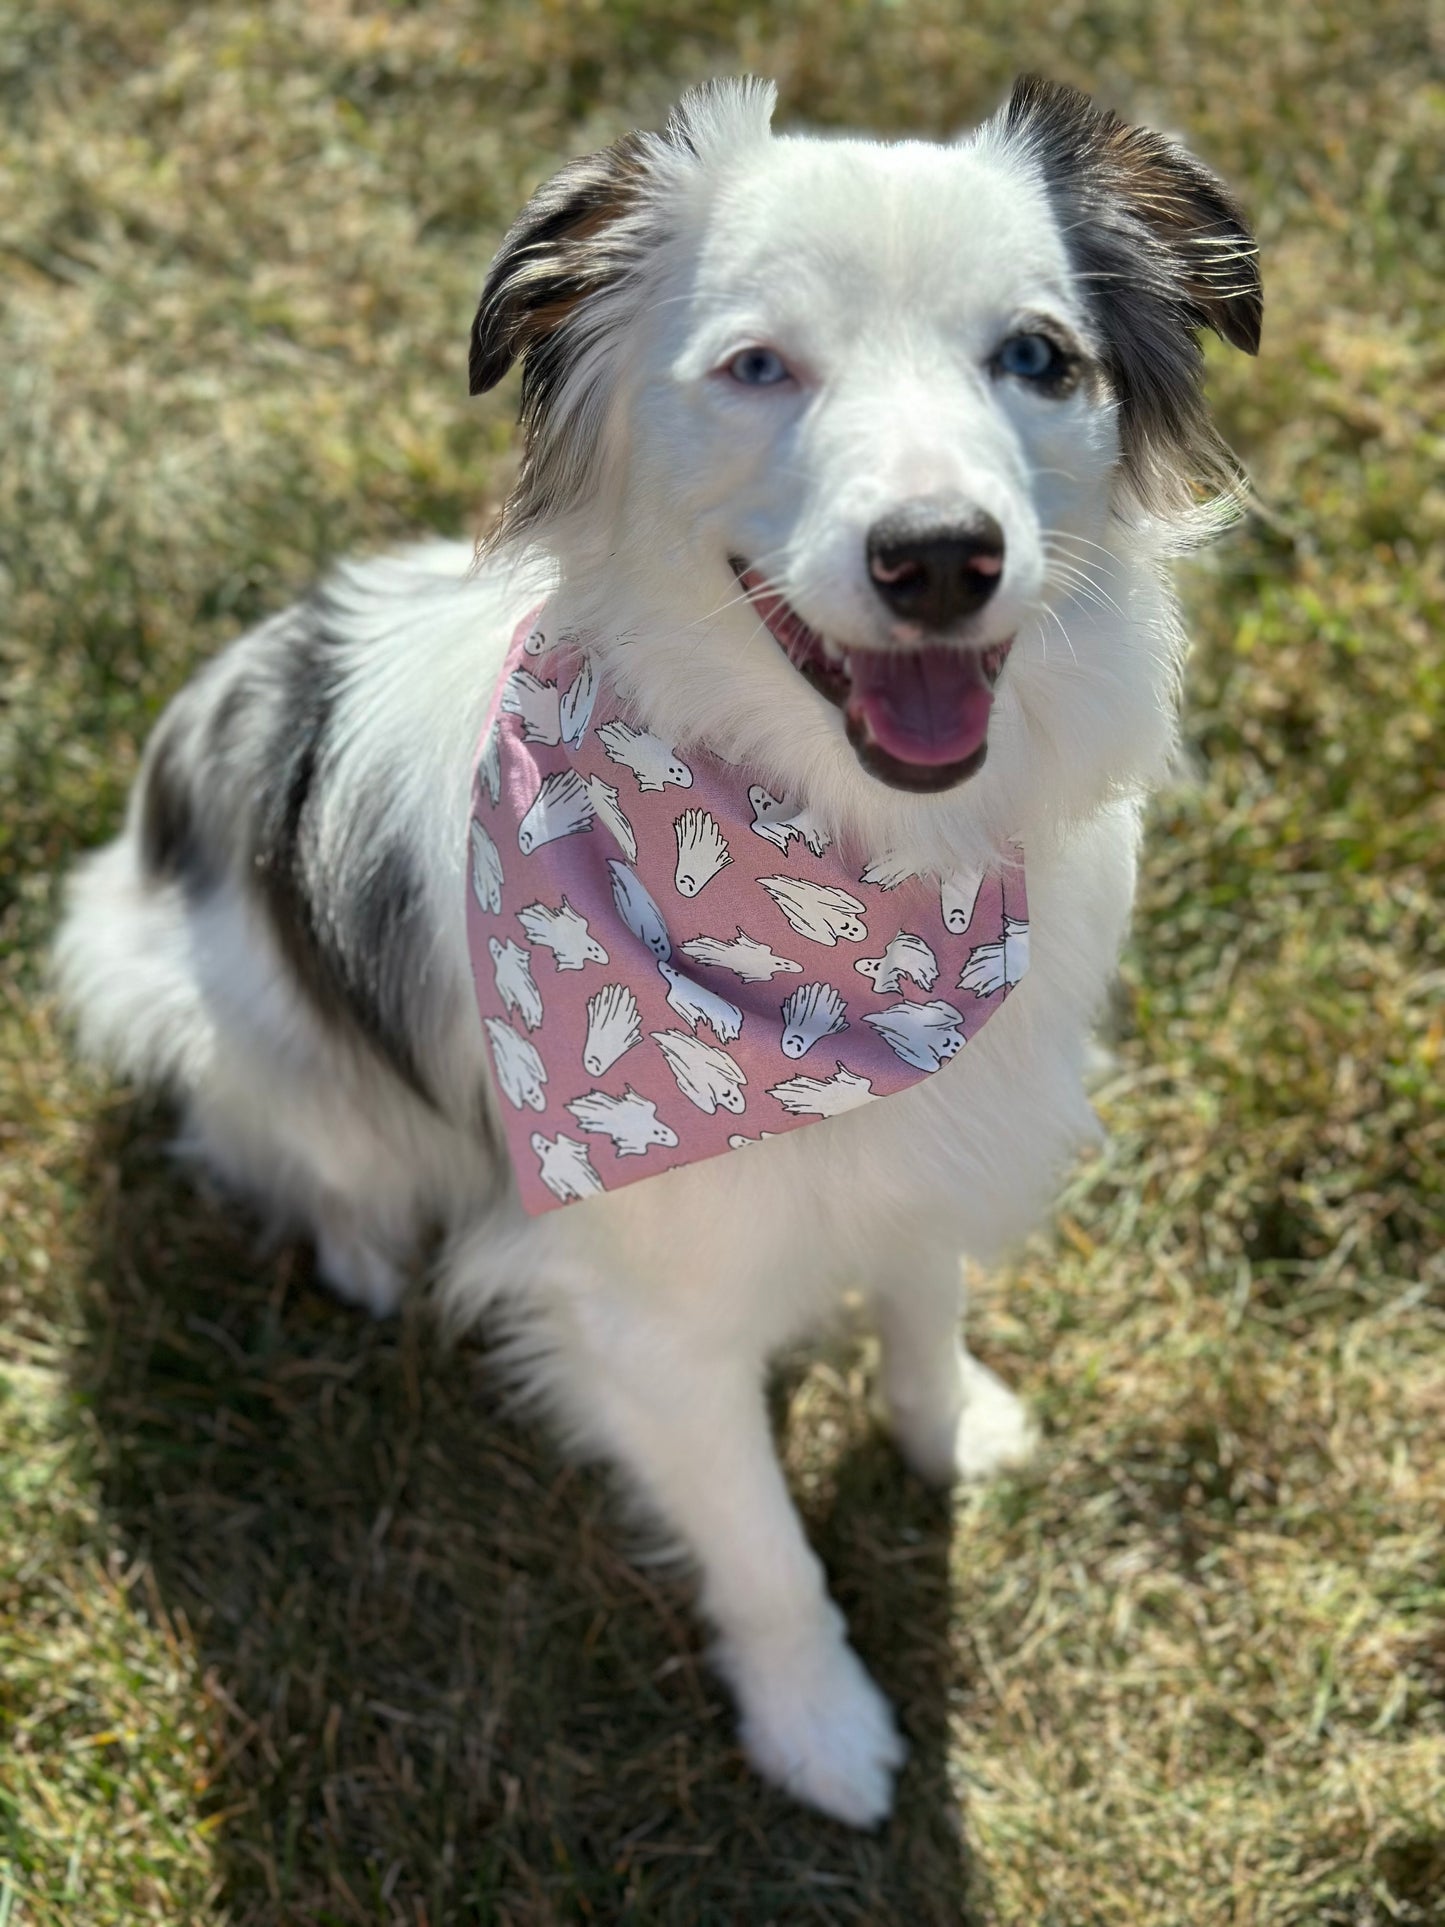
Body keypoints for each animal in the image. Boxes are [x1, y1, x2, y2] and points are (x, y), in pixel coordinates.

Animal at [56, 71, 1263, 1819]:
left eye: (1038, 355)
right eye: (758, 364)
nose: (940, 554)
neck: (851, 879)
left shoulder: (940, 1126)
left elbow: (921, 1296)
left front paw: (947, 1430)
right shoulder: (652, 1322)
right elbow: (760, 1546)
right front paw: (821, 1725)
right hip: (202, 995)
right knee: (293, 1136)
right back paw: (361, 1238)